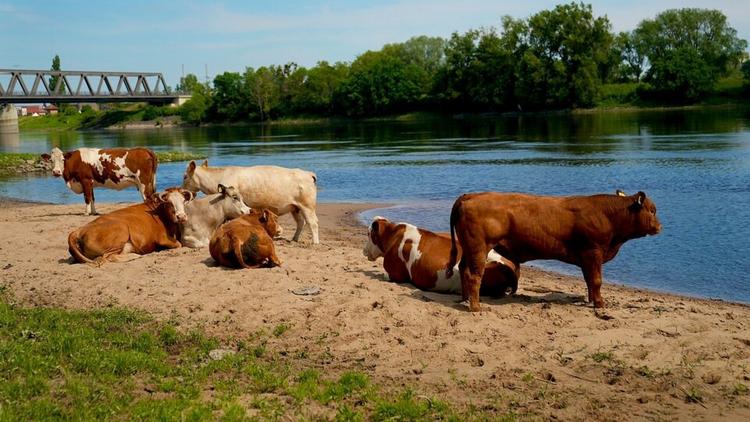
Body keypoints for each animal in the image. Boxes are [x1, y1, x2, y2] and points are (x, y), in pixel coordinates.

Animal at [184, 159, 320, 244]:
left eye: (185, 176)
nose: (185, 191)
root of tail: (308, 173)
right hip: (295, 207)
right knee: (300, 222)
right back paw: (294, 240)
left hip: (307, 206)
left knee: (312, 223)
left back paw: (315, 242)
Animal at [446, 190, 664, 312]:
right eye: (652, 210)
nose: (659, 227)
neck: (607, 215)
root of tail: (470, 196)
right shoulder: (593, 251)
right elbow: (596, 280)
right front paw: (600, 304)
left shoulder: (587, 258)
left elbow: (589, 280)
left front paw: (591, 300)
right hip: (479, 247)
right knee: (474, 275)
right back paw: (475, 307)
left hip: (468, 247)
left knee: (463, 269)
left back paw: (465, 299)